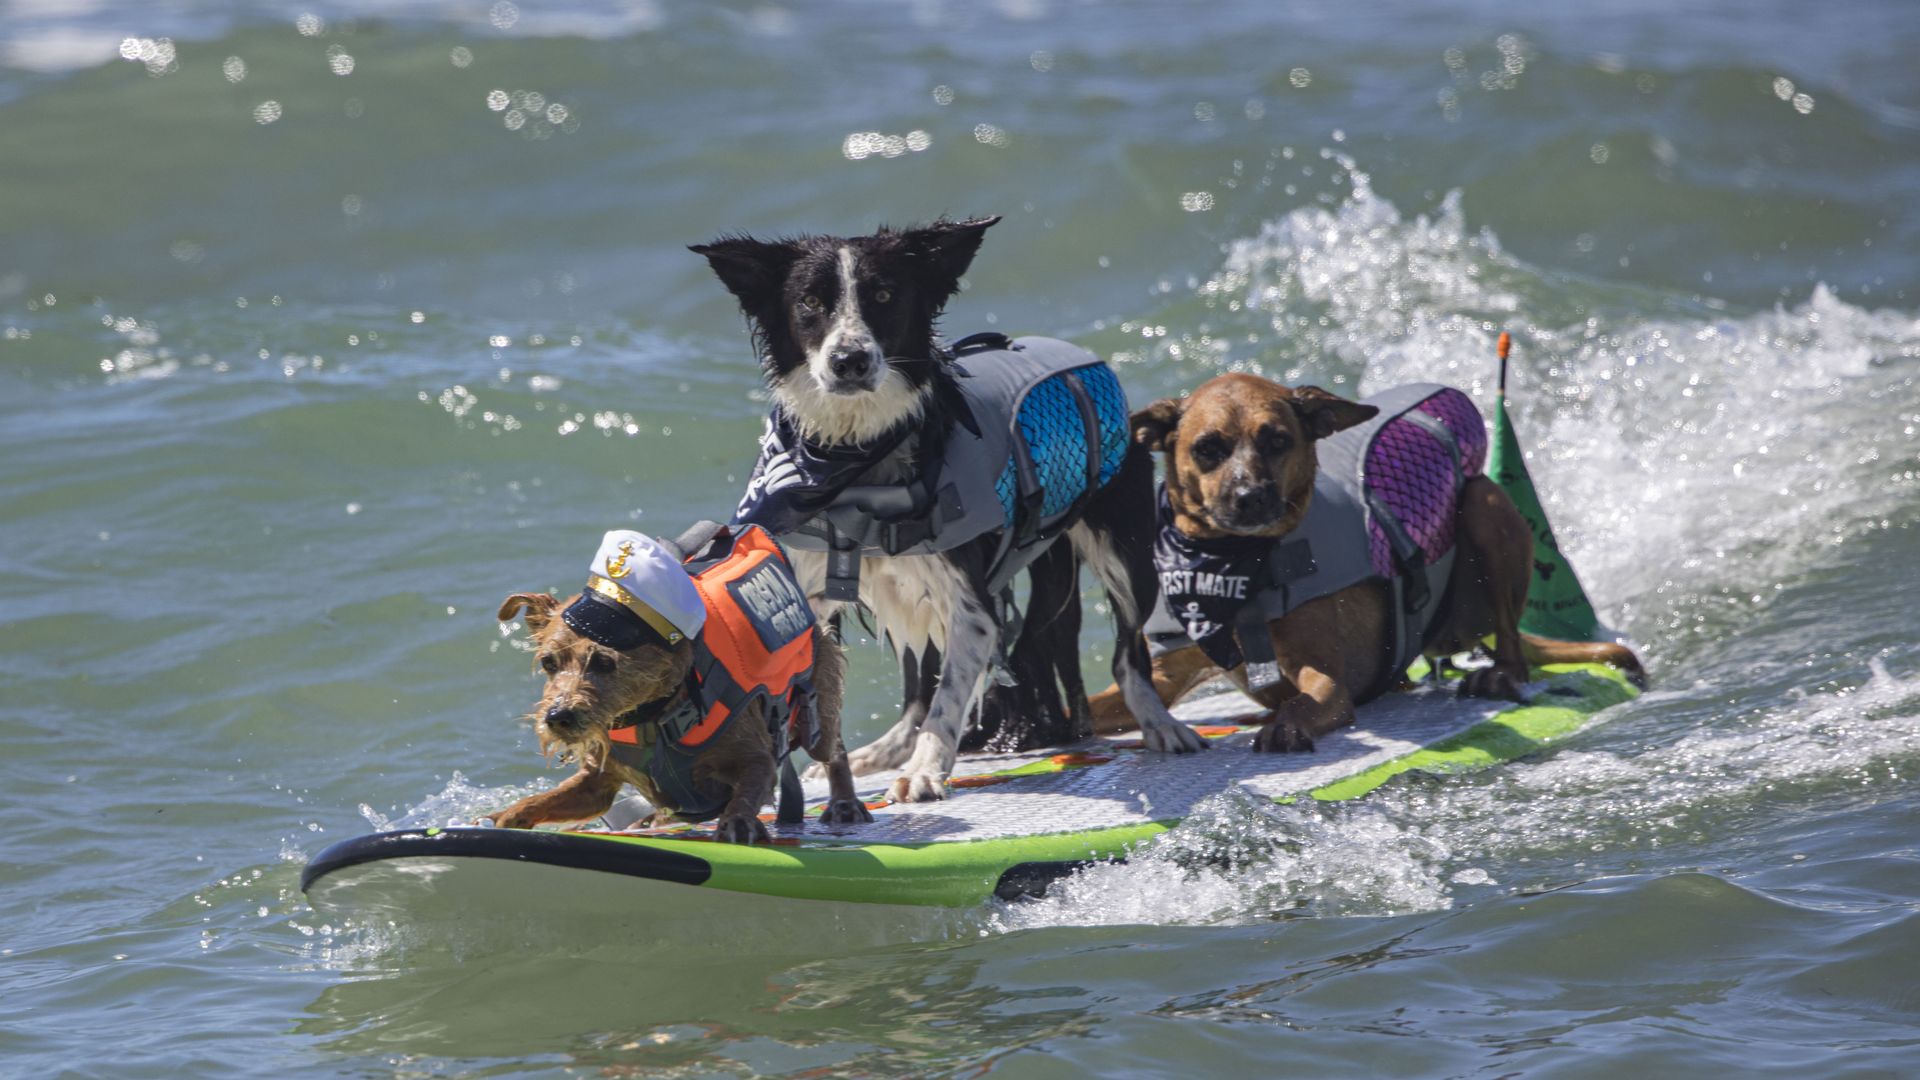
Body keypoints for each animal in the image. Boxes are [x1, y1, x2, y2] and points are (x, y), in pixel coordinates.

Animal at [483, 526, 875, 837]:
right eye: (549, 662)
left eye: (605, 661)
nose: (558, 717)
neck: (652, 715)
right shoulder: (596, 784)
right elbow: (547, 799)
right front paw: (508, 817)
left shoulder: (757, 757)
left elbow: (750, 787)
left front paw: (737, 823)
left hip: (817, 704)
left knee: (833, 748)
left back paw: (844, 804)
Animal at [691, 214, 1198, 799]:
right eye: (810, 302)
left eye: (884, 295)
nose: (849, 360)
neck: (857, 458)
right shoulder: (814, 586)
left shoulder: (971, 603)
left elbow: (950, 694)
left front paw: (925, 771)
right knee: (916, 691)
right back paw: (876, 754)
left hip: (1124, 545)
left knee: (1128, 654)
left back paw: (1162, 724)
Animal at [1090, 368, 1643, 749]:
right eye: (1207, 448)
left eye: (1278, 440)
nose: (1250, 498)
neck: (1230, 564)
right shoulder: (1165, 674)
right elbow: (1102, 706)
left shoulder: (1327, 678)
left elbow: (1308, 699)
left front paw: (1287, 725)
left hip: (1485, 508)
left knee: (1509, 640)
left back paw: (1500, 674)